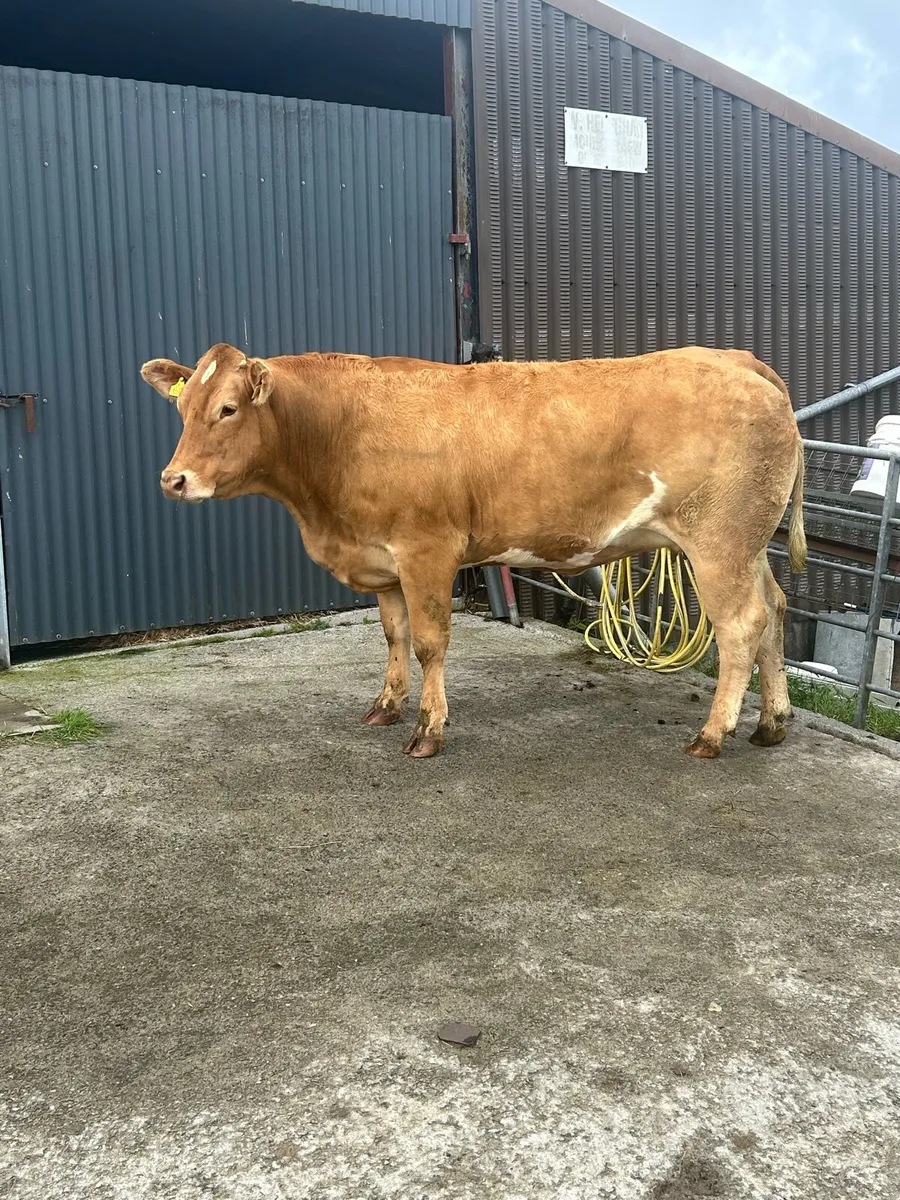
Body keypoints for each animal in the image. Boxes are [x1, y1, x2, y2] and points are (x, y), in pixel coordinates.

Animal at [140, 343, 807, 760]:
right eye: (182, 409)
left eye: (227, 409)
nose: (173, 480)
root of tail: (736, 360)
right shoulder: (384, 562)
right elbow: (394, 635)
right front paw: (386, 705)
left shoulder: (427, 548)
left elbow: (430, 642)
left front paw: (428, 730)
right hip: (750, 543)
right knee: (775, 610)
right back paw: (771, 723)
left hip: (719, 542)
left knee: (740, 626)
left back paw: (713, 734)